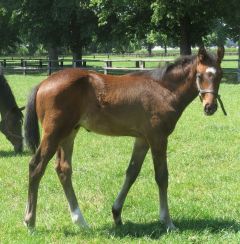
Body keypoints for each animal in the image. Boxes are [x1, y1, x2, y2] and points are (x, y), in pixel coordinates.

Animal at [23, 46, 225, 231]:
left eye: (220, 76)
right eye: (200, 75)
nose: (210, 107)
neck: (164, 89)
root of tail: (42, 83)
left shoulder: (142, 140)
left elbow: (131, 173)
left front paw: (117, 214)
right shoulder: (158, 138)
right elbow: (162, 177)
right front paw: (167, 222)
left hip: (69, 133)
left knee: (63, 169)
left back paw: (81, 221)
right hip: (54, 133)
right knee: (36, 166)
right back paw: (30, 222)